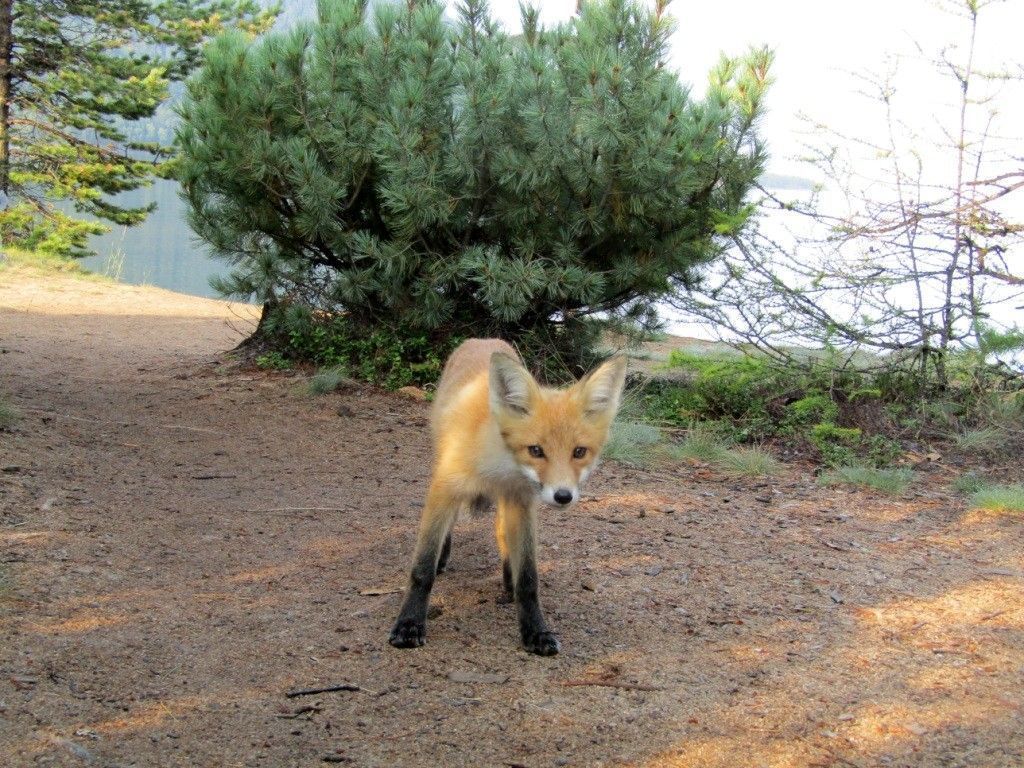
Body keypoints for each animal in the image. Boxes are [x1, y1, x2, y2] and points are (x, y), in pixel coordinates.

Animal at [387, 339, 622, 659]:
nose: (563, 496)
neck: (500, 465)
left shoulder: (520, 500)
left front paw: (535, 631)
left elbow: (528, 580)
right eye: (535, 450)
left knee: (503, 537)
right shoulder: (446, 486)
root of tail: (482, 339)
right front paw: (409, 624)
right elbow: (422, 570)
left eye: (579, 452)